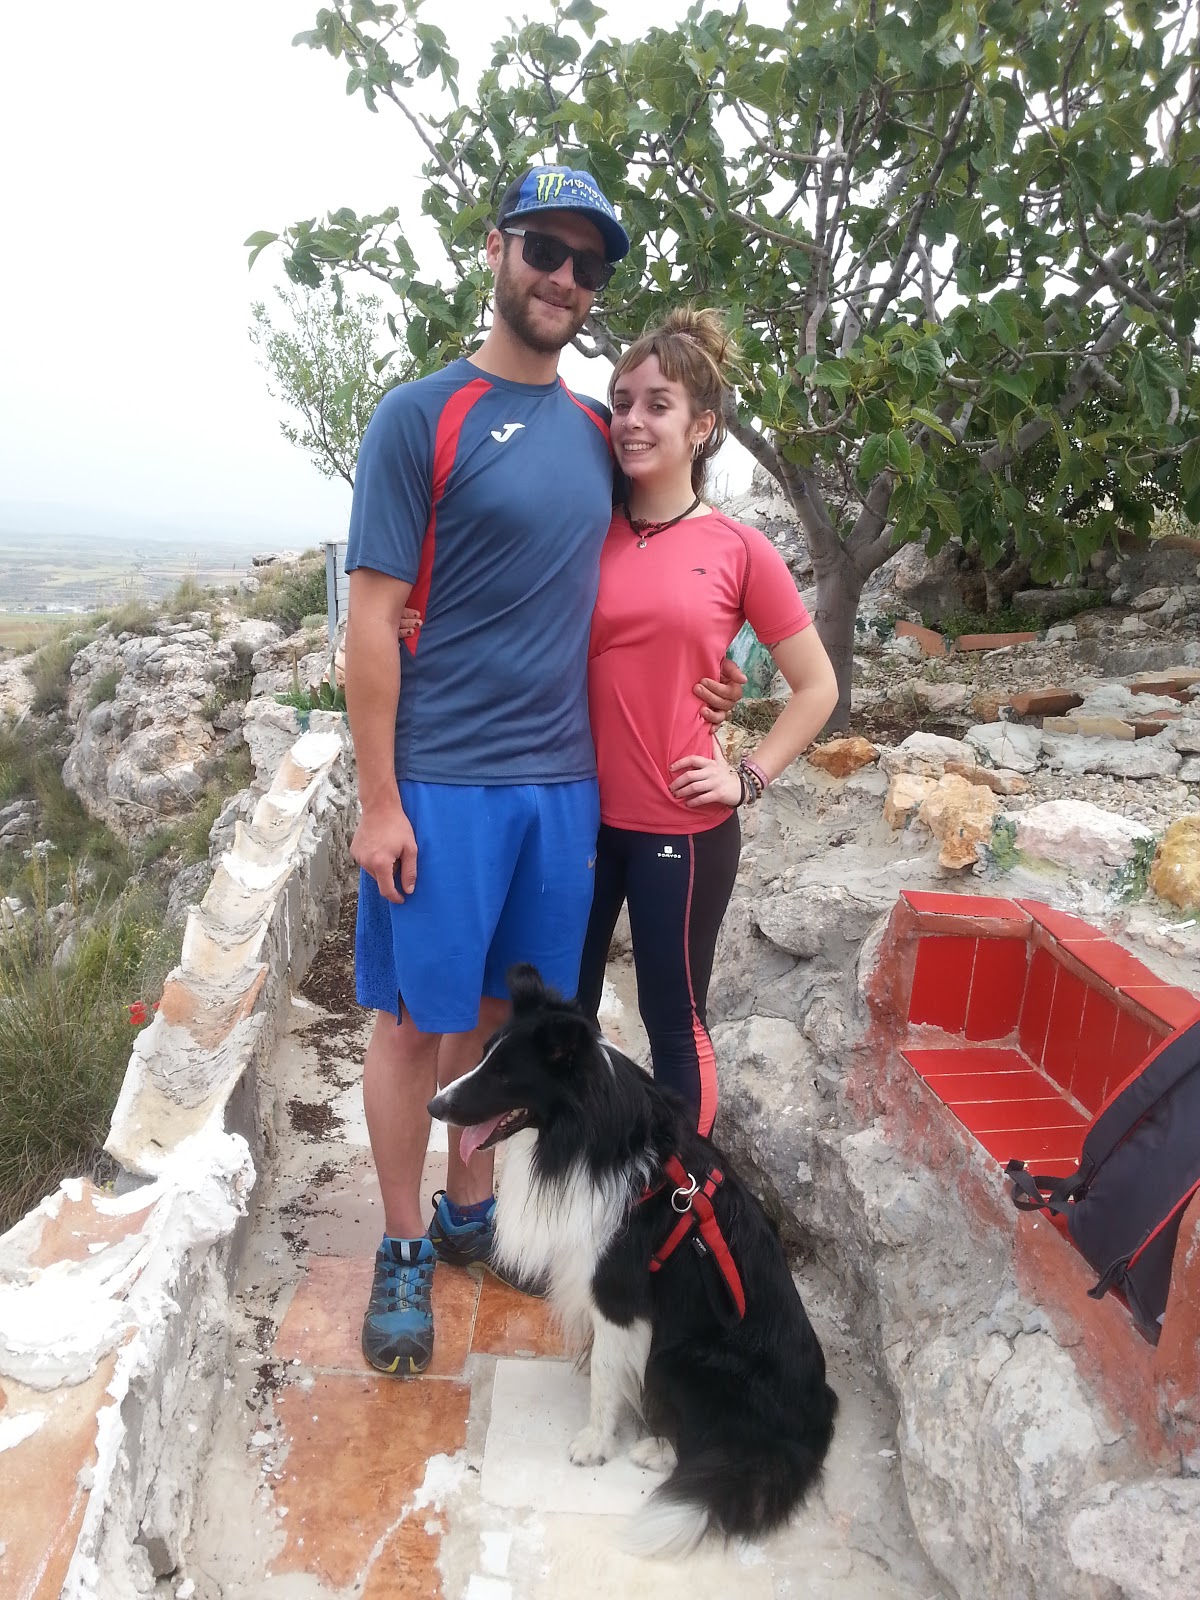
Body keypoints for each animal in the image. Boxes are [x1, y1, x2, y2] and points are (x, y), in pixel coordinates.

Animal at [428, 964, 838, 1559]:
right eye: (483, 1056)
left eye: (505, 1075)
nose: (435, 1107)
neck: (584, 1130)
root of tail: (811, 1421)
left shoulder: (619, 1296)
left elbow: (606, 1373)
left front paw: (595, 1444)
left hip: (681, 1358)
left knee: (704, 1441)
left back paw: (654, 1449)